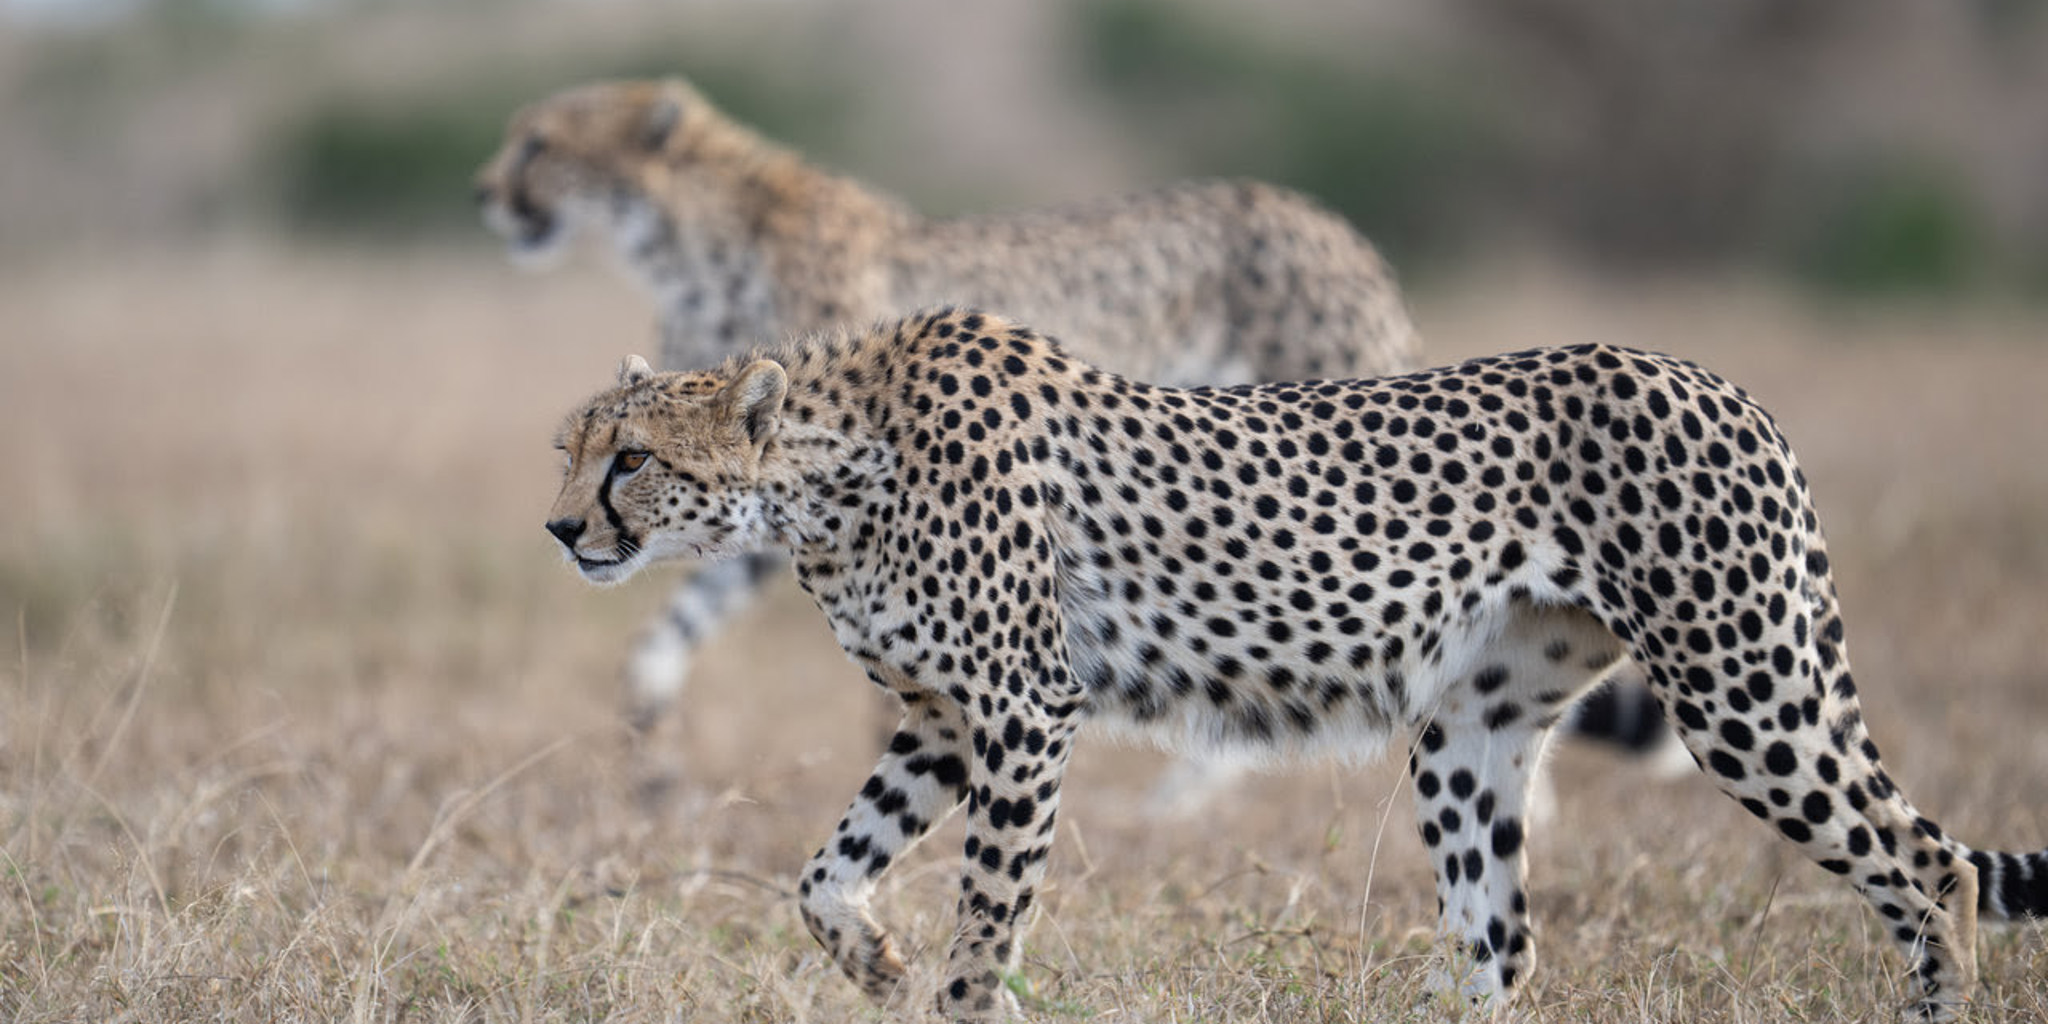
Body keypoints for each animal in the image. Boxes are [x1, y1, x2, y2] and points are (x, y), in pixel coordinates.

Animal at [480, 75, 1676, 790]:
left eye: (538, 144)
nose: (486, 191)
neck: (686, 242)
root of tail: (1329, 224)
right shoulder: (769, 505)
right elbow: (659, 638)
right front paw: (654, 772)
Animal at [544, 308, 2047, 1022]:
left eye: (631, 459)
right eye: (568, 448)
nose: (561, 531)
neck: (826, 474)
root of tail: (1717, 381)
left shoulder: (1023, 713)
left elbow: (985, 931)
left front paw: (947, 989)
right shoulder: (940, 721)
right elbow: (822, 877)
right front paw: (873, 963)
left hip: (1743, 684)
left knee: (1930, 868)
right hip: (1469, 728)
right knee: (1500, 941)